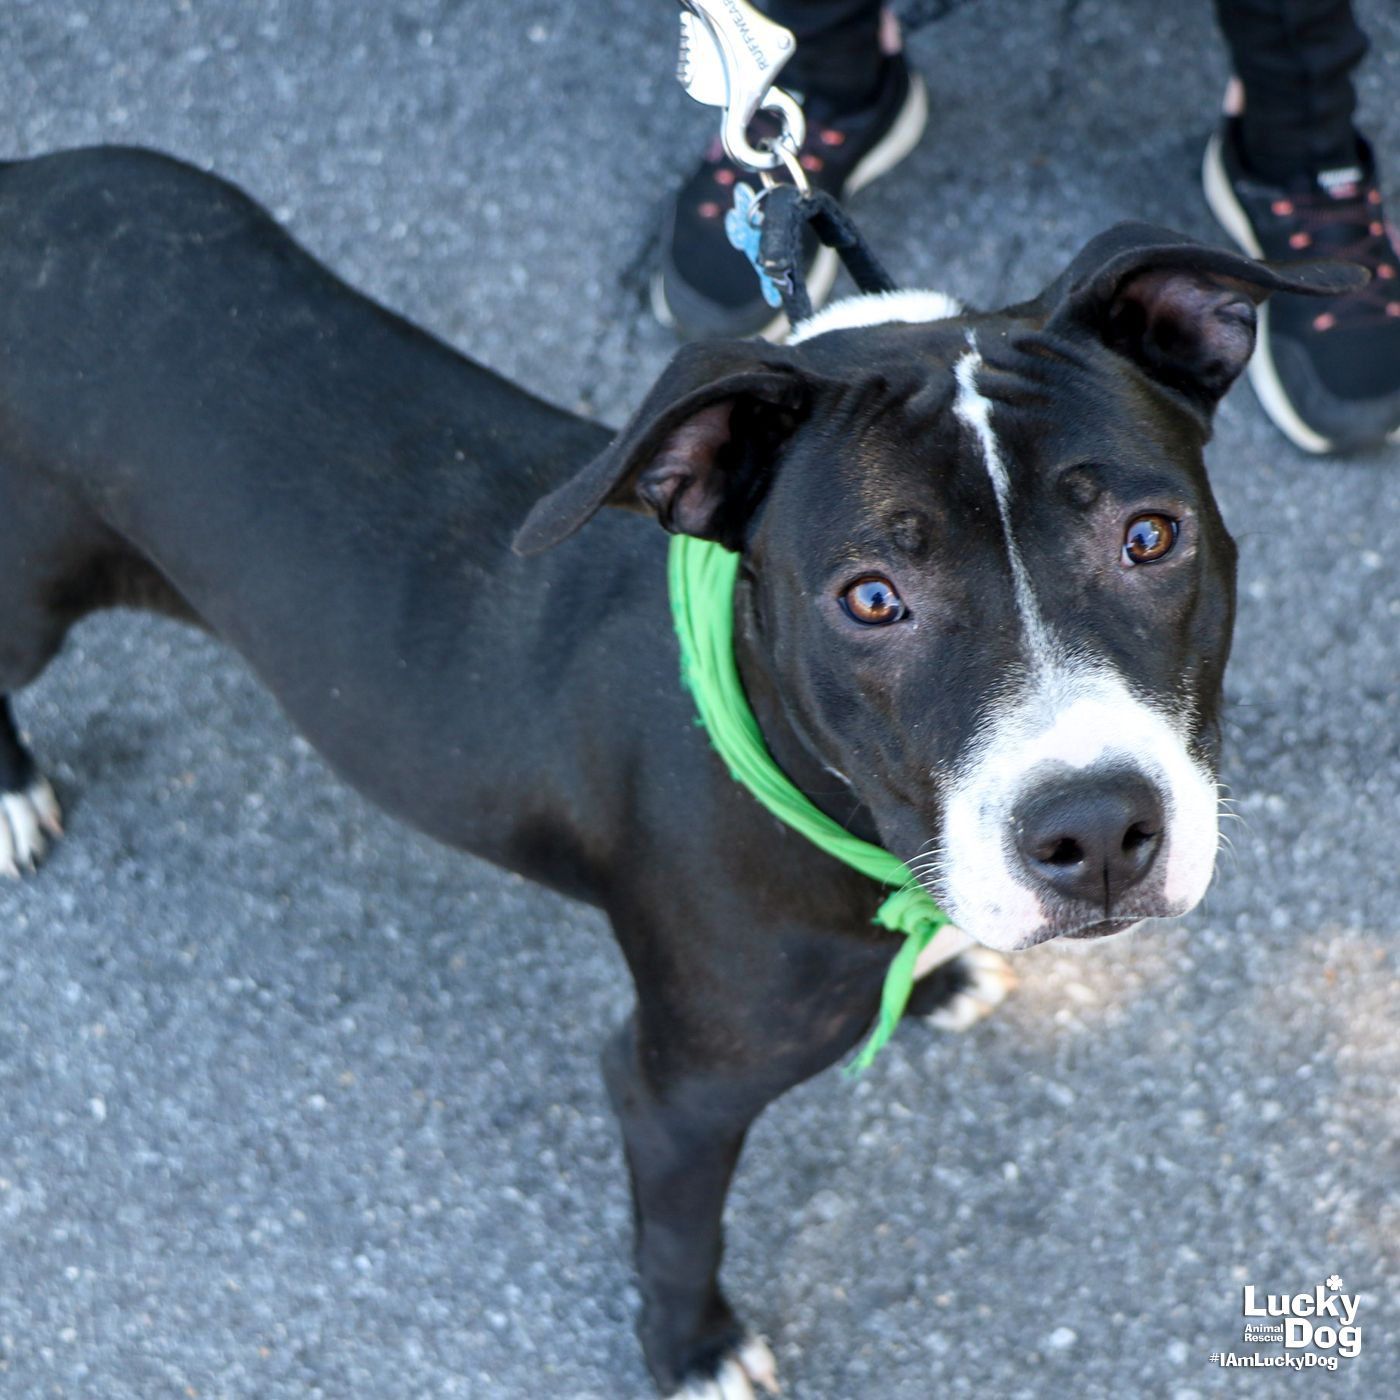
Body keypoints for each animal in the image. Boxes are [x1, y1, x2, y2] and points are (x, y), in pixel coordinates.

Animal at [0, 147, 1355, 1394]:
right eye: (872, 597)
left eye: (1149, 536)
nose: (1095, 828)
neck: (819, 792)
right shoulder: (675, 1089)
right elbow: (677, 1233)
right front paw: (691, 1349)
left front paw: (933, 975)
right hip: (32, 598)